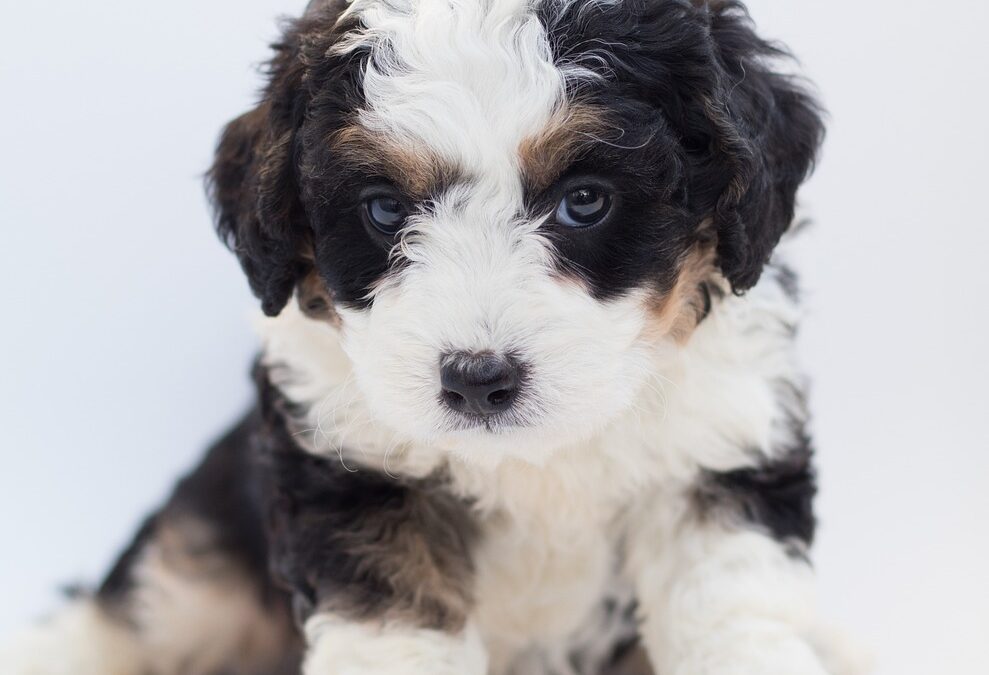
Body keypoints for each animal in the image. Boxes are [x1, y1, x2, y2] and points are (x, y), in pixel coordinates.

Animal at [0, 1, 860, 675]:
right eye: (384, 209)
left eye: (585, 200)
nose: (478, 380)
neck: (537, 460)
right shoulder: (354, 473)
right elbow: (394, 627)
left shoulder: (717, 450)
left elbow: (730, 613)